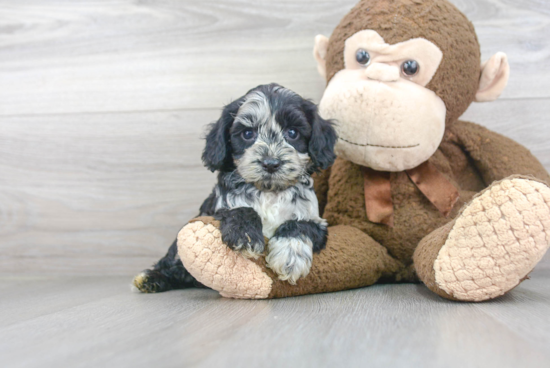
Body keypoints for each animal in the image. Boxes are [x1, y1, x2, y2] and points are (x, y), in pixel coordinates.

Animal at [136, 83, 338, 294]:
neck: (268, 191)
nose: (270, 163)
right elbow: (241, 210)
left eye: (292, 133)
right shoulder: (215, 211)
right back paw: (151, 278)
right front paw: (245, 235)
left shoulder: (316, 220)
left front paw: (290, 256)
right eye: (248, 134)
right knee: (173, 262)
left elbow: (299, 225)